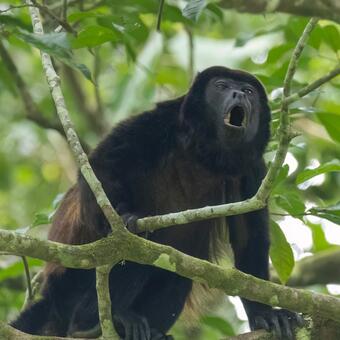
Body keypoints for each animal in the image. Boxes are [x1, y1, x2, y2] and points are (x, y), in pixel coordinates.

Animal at [11, 66, 302, 340]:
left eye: (248, 91)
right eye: (221, 86)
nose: (238, 94)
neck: (207, 153)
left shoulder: (254, 168)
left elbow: (247, 237)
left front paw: (264, 314)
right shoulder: (158, 121)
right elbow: (100, 166)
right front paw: (122, 222)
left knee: (177, 273)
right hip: (70, 284)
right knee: (135, 252)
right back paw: (93, 323)